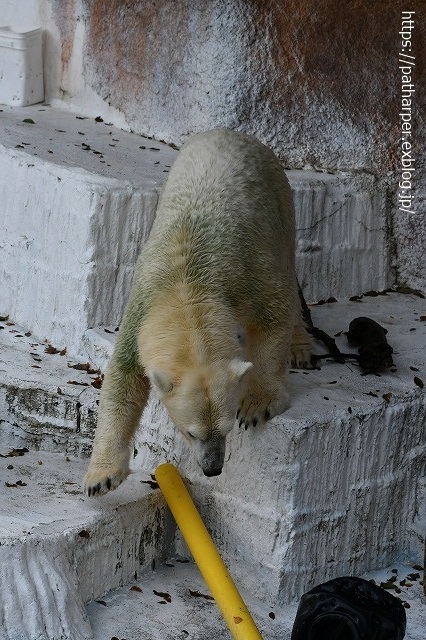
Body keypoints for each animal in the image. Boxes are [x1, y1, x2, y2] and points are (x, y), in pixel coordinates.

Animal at [83, 126, 312, 496]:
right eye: (190, 432)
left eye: (227, 427)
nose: (213, 469)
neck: (187, 286)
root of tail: (229, 132)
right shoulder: (142, 307)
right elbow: (123, 379)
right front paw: (100, 478)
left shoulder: (244, 275)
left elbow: (274, 312)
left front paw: (258, 404)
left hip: (278, 199)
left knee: (289, 272)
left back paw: (301, 348)